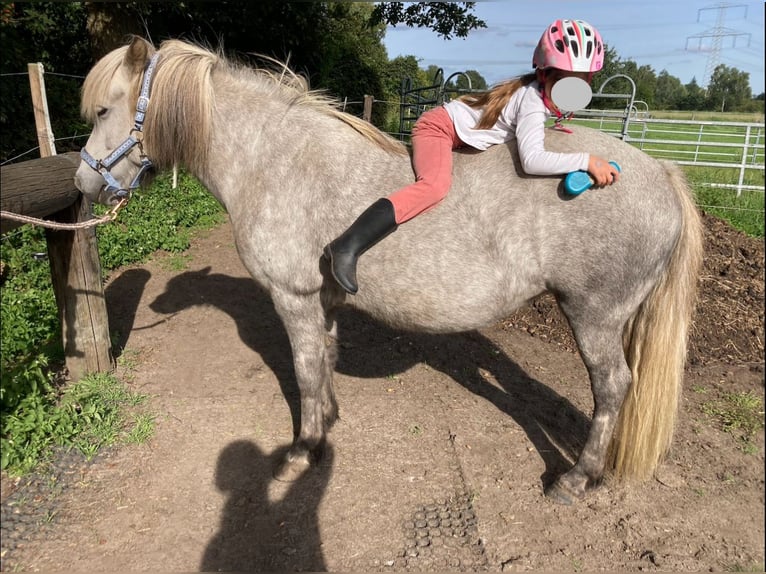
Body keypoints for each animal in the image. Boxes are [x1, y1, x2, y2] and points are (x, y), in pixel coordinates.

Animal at [75, 36, 704, 506]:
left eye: (104, 110)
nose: (83, 185)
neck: (276, 161)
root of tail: (660, 173)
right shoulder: (321, 300)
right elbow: (323, 361)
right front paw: (327, 425)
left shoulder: (292, 296)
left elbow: (304, 370)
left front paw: (302, 449)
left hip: (594, 315)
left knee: (613, 386)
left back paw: (577, 478)